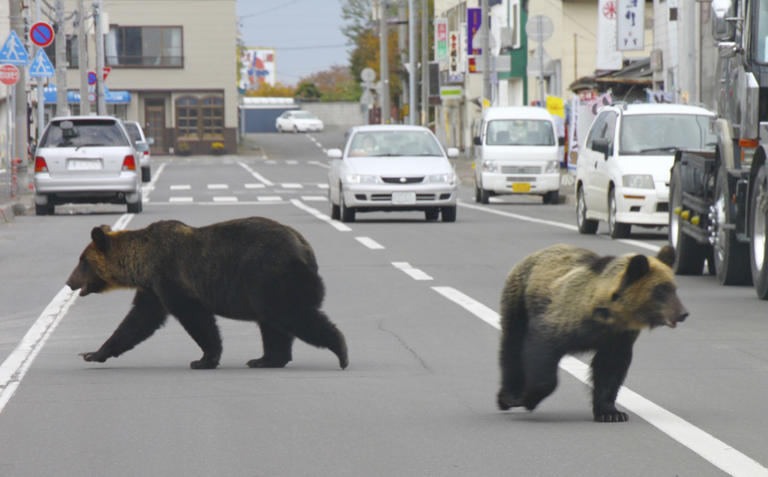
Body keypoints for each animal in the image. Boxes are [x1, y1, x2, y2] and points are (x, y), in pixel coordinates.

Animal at [66, 217, 348, 370]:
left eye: (82, 261)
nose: (69, 282)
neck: (142, 264)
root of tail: (305, 248)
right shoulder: (153, 289)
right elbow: (137, 321)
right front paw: (93, 353)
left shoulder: (170, 278)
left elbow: (196, 318)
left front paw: (203, 359)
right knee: (273, 324)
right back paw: (265, 359)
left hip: (270, 276)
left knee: (291, 315)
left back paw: (341, 351)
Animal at [496, 244, 688, 422]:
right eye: (660, 289)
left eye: (674, 288)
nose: (683, 313)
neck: (608, 315)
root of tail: (536, 253)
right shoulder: (563, 319)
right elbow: (542, 351)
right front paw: (528, 398)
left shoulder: (618, 337)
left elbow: (610, 369)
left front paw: (611, 413)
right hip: (519, 300)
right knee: (512, 344)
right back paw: (507, 396)